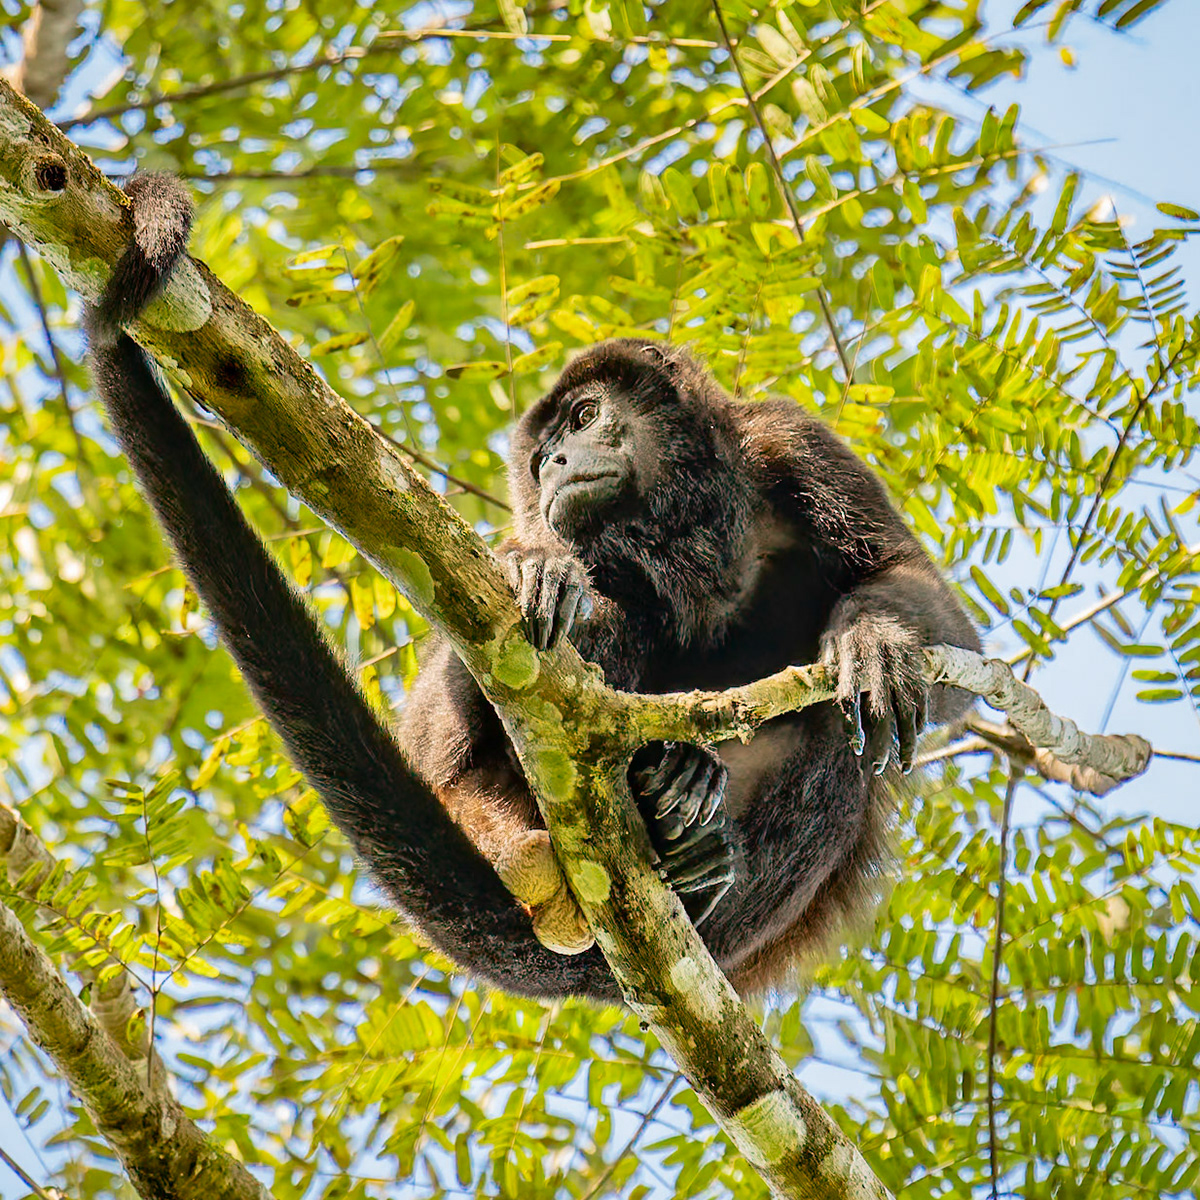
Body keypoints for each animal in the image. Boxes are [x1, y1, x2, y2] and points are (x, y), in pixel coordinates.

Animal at [85, 173, 980, 1002]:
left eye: (582, 418)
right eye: (542, 448)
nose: (551, 461)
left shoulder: (793, 439)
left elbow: (922, 600)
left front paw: (877, 642)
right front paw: (535, 569)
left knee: (837, 736)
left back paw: (691, 841)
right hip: (481, 800)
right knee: (590, 633)